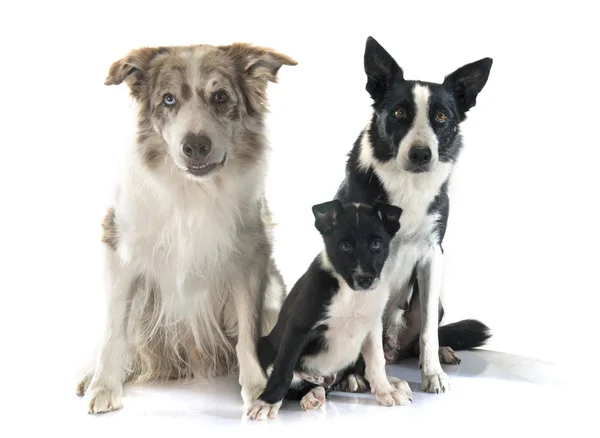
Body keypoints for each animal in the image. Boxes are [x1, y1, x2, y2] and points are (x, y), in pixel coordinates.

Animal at [77, 42, 298, 414]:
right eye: (168, 99)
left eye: (220, 96)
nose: (195, 145)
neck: (193, 193)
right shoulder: (120, 251)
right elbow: (115, 332)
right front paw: (104, 386)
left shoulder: (250, 258)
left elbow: (248, 335)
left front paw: (257, 389)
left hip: (274, 293)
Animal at [247, 200, 412, 420]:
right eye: (345, 246)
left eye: (377, 244)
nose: (365, 279)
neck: (353, 295)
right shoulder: (298, 328)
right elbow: (284, 369)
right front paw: (267, 402)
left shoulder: (373, 326)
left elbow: (377, 362)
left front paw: (385, 390)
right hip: (265, 345)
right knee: (299, 382)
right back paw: (313, 394)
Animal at [336, 36, 494, 394]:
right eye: (400, 112)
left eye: (441, 116)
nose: (421, 154)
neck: (407, 184)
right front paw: (366, 378)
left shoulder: (433, 254)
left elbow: (428, 332)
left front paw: (432, 372)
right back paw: (353, 374)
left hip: (430, 303)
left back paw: (440, 352)